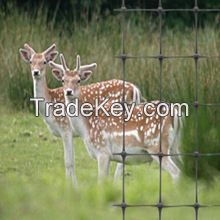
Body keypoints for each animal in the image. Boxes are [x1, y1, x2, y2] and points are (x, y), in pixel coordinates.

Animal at [18, 43, 143, 186]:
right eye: (30, 61)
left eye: (44, 62)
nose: (36, 72)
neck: (49, 107)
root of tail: (135, 89)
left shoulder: (65, 128)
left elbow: (69, 161)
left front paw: (71, 186)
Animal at [50, 54, 182, 180]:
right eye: (63, 80)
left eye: (78, 80)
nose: (68, 91)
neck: (85, 128)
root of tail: (176, 113)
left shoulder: (103, 152)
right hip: (174, 146)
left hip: (157, 147)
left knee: (176, 172)